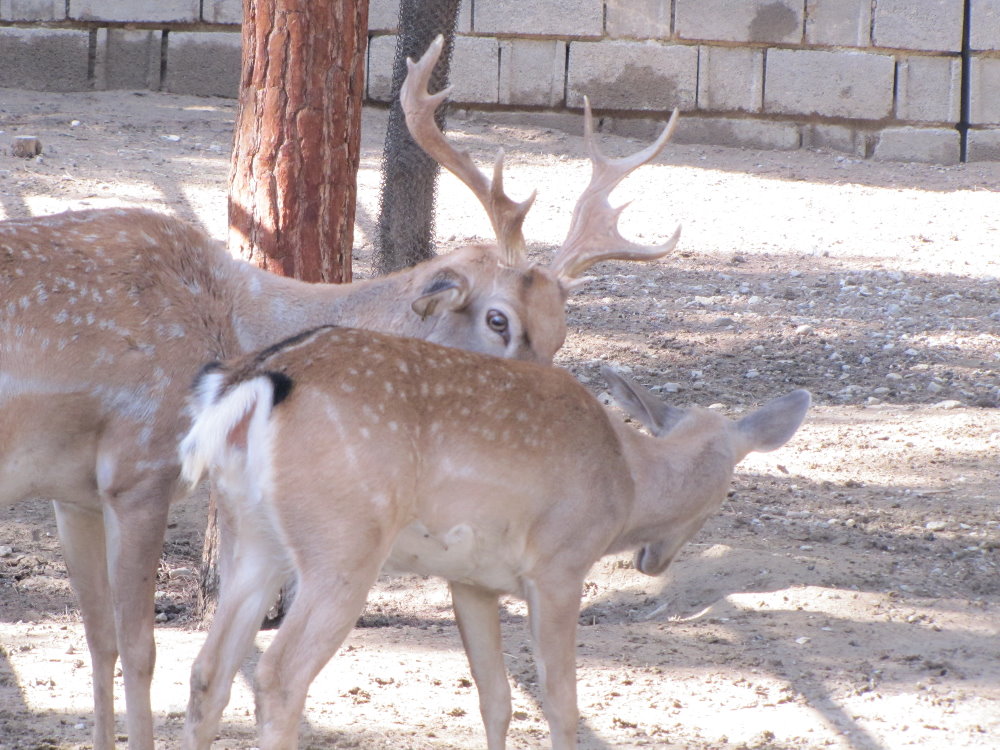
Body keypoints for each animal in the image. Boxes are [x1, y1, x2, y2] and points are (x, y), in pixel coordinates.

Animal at [0, 36, 681, 750]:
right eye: (499, 320)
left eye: (560, 330)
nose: (543, 408)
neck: (230, 318)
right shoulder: (140, 466)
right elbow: (140, 651)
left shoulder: (72, 491)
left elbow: (99, 643)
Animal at [178, 325, 811, 750]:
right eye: (726, 492)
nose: (652, 563)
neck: (626, 484)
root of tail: (249, 382)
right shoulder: (559, 565)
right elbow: (561, 702)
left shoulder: (470, 580)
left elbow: (496, 698)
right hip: (343, 541)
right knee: (278, 677)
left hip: (249, 536)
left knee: (209, 671)